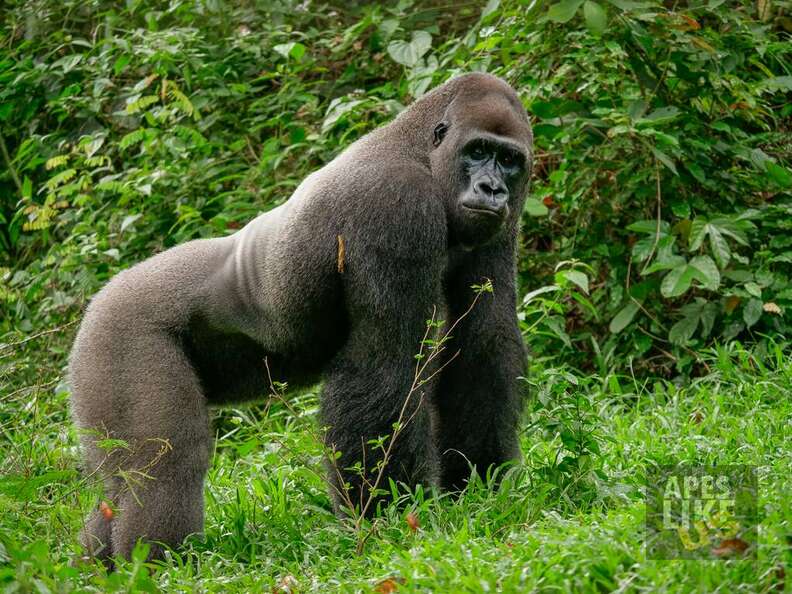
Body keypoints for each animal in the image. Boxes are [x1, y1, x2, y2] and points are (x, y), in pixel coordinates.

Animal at [71, 71, 536, 556]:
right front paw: (390, 517)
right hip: (120, 332)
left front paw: (477, 483)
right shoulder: (395, 204)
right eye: (477, 151)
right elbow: (386, 368)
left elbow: (484, 343)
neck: (421, 151)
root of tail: (100, 297)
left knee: (119, 487)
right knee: (165, 466)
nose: (492, 189)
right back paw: (162, 563)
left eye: (509, 160)